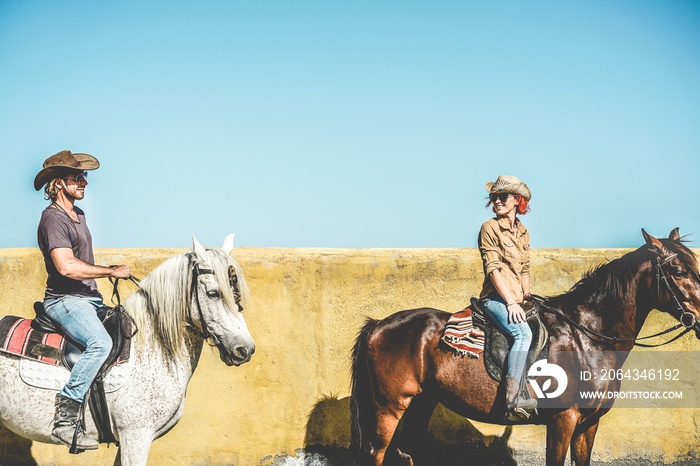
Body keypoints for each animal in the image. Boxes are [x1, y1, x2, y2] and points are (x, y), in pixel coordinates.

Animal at [0, 235, 254, 464]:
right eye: (213, 293)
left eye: (237, 295)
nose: (245, 349)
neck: (150, 347)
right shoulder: (136, 435)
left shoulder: (126, 440)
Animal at [350, 228, 700, 464]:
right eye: (678, 270)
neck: (588, 338)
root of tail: (378, 325)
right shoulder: (563, 420)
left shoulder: (589, 423)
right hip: (390, 406)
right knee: (377, 453)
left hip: (422, 401)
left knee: (405, 452)